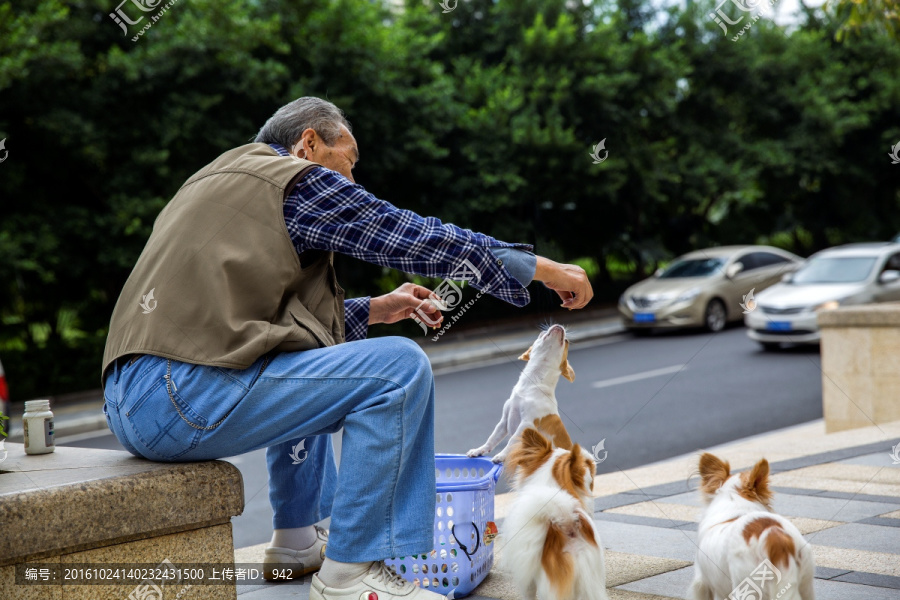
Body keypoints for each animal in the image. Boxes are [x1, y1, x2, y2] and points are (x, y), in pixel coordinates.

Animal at [468, 324, 572, 464]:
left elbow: (512, 441)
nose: (559, 325)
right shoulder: (504, 422)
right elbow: (492, 438)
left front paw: (501, 455)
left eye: (567, 341)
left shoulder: (527, 423)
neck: (531, 384)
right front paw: (479, 450)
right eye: (541, 333)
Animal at [502, 426, 608, 600]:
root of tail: (566, 521)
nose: (591, 459)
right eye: (588, 465)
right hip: (591, 575)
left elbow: (529, 593)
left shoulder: (527, 574)